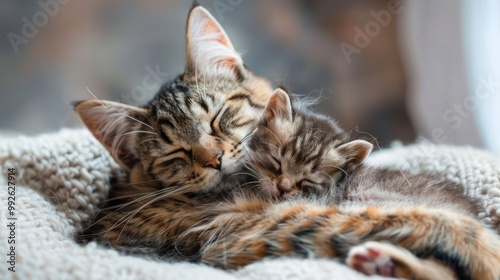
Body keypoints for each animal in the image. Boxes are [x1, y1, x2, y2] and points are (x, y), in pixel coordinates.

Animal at [74, 5, 500, 280]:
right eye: (174, 153)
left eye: (218, 116)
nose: (214, 159)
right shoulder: (251, 224)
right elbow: (454, 229)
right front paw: (487, 256)